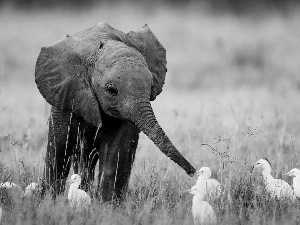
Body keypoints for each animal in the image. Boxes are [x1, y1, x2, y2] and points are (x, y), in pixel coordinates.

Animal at [35, 22, 196, 202]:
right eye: (111, 90)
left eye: (151, 86)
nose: (193, 172)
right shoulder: (67, 96)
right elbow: (59, 150)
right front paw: (49, 202)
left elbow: (116, 152)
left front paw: (108, 206)